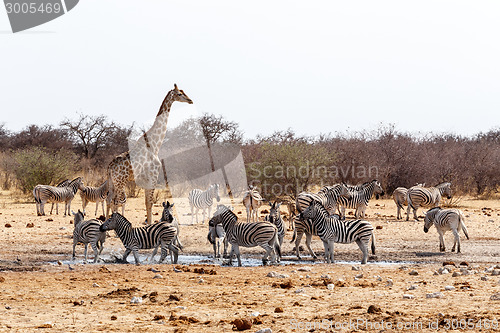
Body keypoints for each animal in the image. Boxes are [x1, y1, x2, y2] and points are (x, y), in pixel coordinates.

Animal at [105, 83, 193, 223]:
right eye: (180, 94)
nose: (190, 100)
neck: (155, 145)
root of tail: (110, 167)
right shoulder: (153, 176)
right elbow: (150, 203)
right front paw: (150, 225)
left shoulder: (147, 179)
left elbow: (147, 203)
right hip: (120, 182)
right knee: (116, 201)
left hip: (112, 182)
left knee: (109, 200)